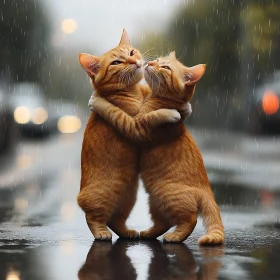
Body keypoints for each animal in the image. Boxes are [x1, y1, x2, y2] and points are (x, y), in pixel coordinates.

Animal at [88, 52, 224, 245]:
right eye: (158, 60)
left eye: (165, 67)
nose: (151, 62)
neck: (161, 99)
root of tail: (207, 190)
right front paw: (184, 109)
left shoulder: (135, 127)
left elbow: (115, 112)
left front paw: (97, 102)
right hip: (156, 201)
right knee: (164, 222)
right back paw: (147, 233)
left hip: (168, 195)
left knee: (190, 219)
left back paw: (174, 237)